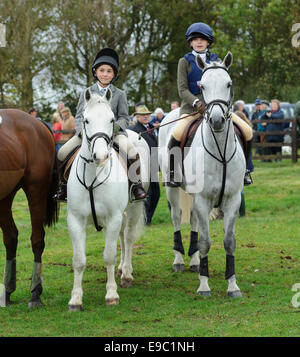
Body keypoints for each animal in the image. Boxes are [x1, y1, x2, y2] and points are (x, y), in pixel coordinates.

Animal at [0, 108, 59, 306]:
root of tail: (36, 122)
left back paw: (35, 293)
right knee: (11, 237)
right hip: (5, 196)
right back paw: (7, 291)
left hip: (36, 190)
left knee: (37, 239)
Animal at [158, 52, 245, 296]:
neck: (221, 153)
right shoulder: (204, 199)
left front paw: (232, 285)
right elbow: (206, 242)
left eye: (229, 84)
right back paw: (179, 260)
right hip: (172, 189)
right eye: (202, 86)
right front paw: (204, 285)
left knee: (194, 219)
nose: (216, 120)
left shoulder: (232, 200)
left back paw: (195, 261)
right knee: (177, 217)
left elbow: (229, 241)